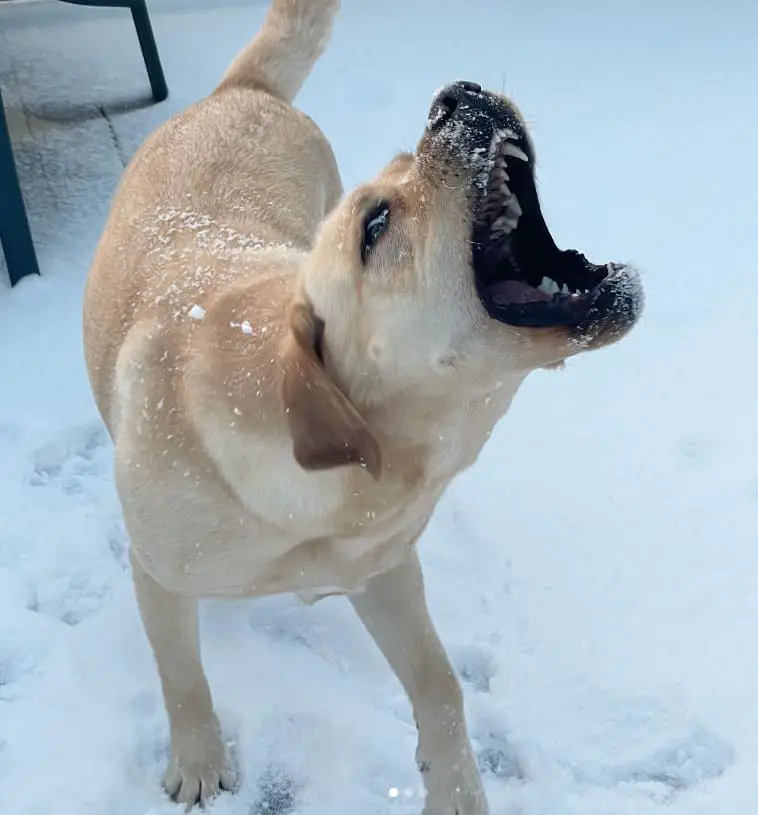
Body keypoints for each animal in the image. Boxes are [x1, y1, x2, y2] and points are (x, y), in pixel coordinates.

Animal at [83, 0, 644, 812]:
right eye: (376, 226)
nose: (457, 94)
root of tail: (241, 92)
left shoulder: (382, 568)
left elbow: (440, 682)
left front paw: (455, 788)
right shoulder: (155, 573)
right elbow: (180, 673)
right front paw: (197, 759)